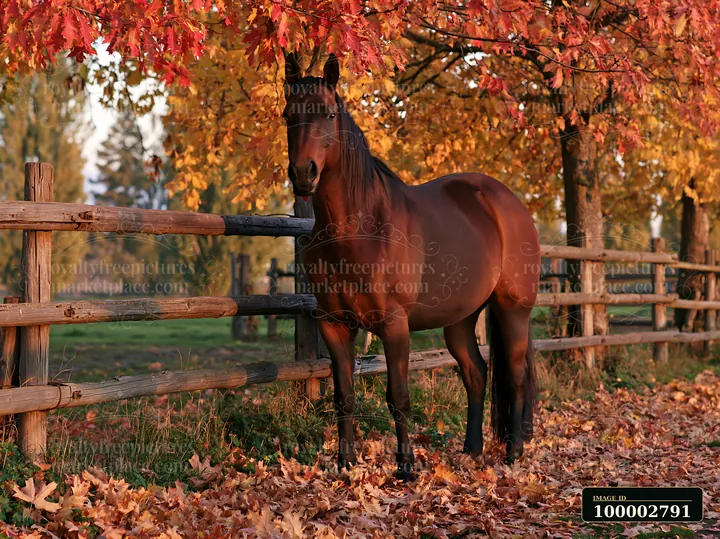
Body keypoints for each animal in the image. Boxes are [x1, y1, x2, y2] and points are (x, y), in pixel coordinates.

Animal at [282, 53, 540, 480]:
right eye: (288, 115)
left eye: (328, 114)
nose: (304, 174)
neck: (361, 229)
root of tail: (508, 203)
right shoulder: (334, 324)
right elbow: (344, 395)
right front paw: (345, 463)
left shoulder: (394, 324)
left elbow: (398, 396)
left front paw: (405, 465)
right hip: (459, 319)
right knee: (476, 373)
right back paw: (472, 450)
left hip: (513, 309)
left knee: (517, 376)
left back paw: (513, 452)